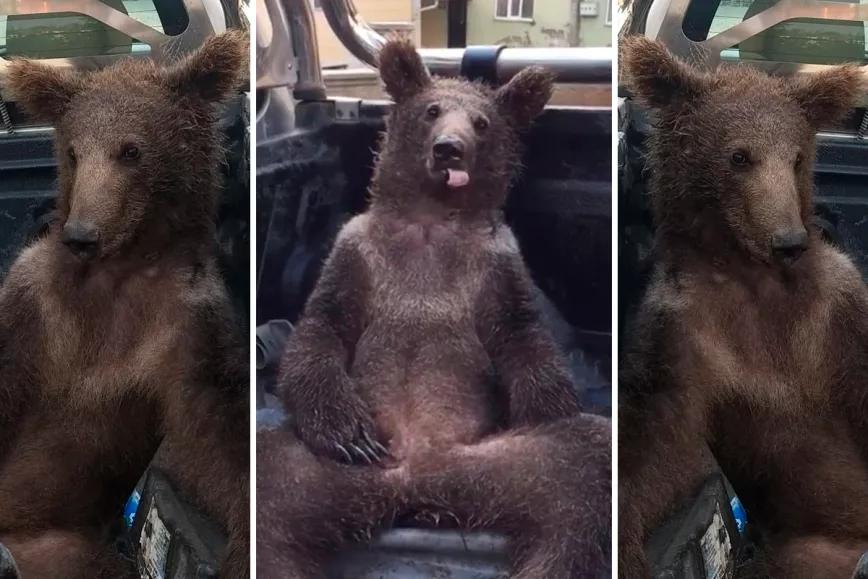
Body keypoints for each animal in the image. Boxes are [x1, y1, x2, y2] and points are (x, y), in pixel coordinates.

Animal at [0, 30, 250, 578]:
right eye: (73, 151)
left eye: (131, 150)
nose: (81, 235)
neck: (118, 272)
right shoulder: (32, 301)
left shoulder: (186, 329)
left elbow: (216, 439)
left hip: (59, 550)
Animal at [256, 38, 612, 579]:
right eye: (431, 110)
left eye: (482, 122)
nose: (449, 148)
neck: (429, 222)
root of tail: (416, 489)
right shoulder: (357, 255)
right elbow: (321, 331)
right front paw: (348, 431)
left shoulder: (496, 267)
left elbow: (523, 339)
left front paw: (544, 406)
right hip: (320, 477)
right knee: (265, 497)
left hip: (504, 469)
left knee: (582, 478)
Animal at [618, 36, 868, 579]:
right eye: (739, 156)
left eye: (797, 157)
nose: (789, 241)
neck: (755, 283)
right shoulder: (684, 340)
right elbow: (653, 451)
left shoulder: (838, 309)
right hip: (807, 554)